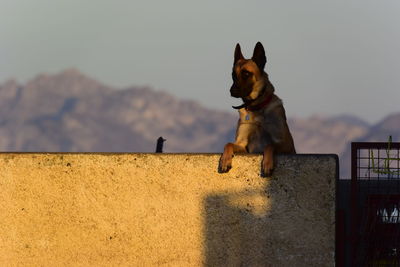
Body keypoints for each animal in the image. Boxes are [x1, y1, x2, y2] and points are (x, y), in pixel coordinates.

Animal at [217, 42, 296, 178]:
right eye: (233, 75)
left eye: (246, 74)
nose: (232, 91)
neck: (257, 108)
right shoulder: (243, 145)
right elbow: (228, 143)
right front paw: (225, 159)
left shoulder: (285, 144)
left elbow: (269, 145)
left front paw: (267, 163)